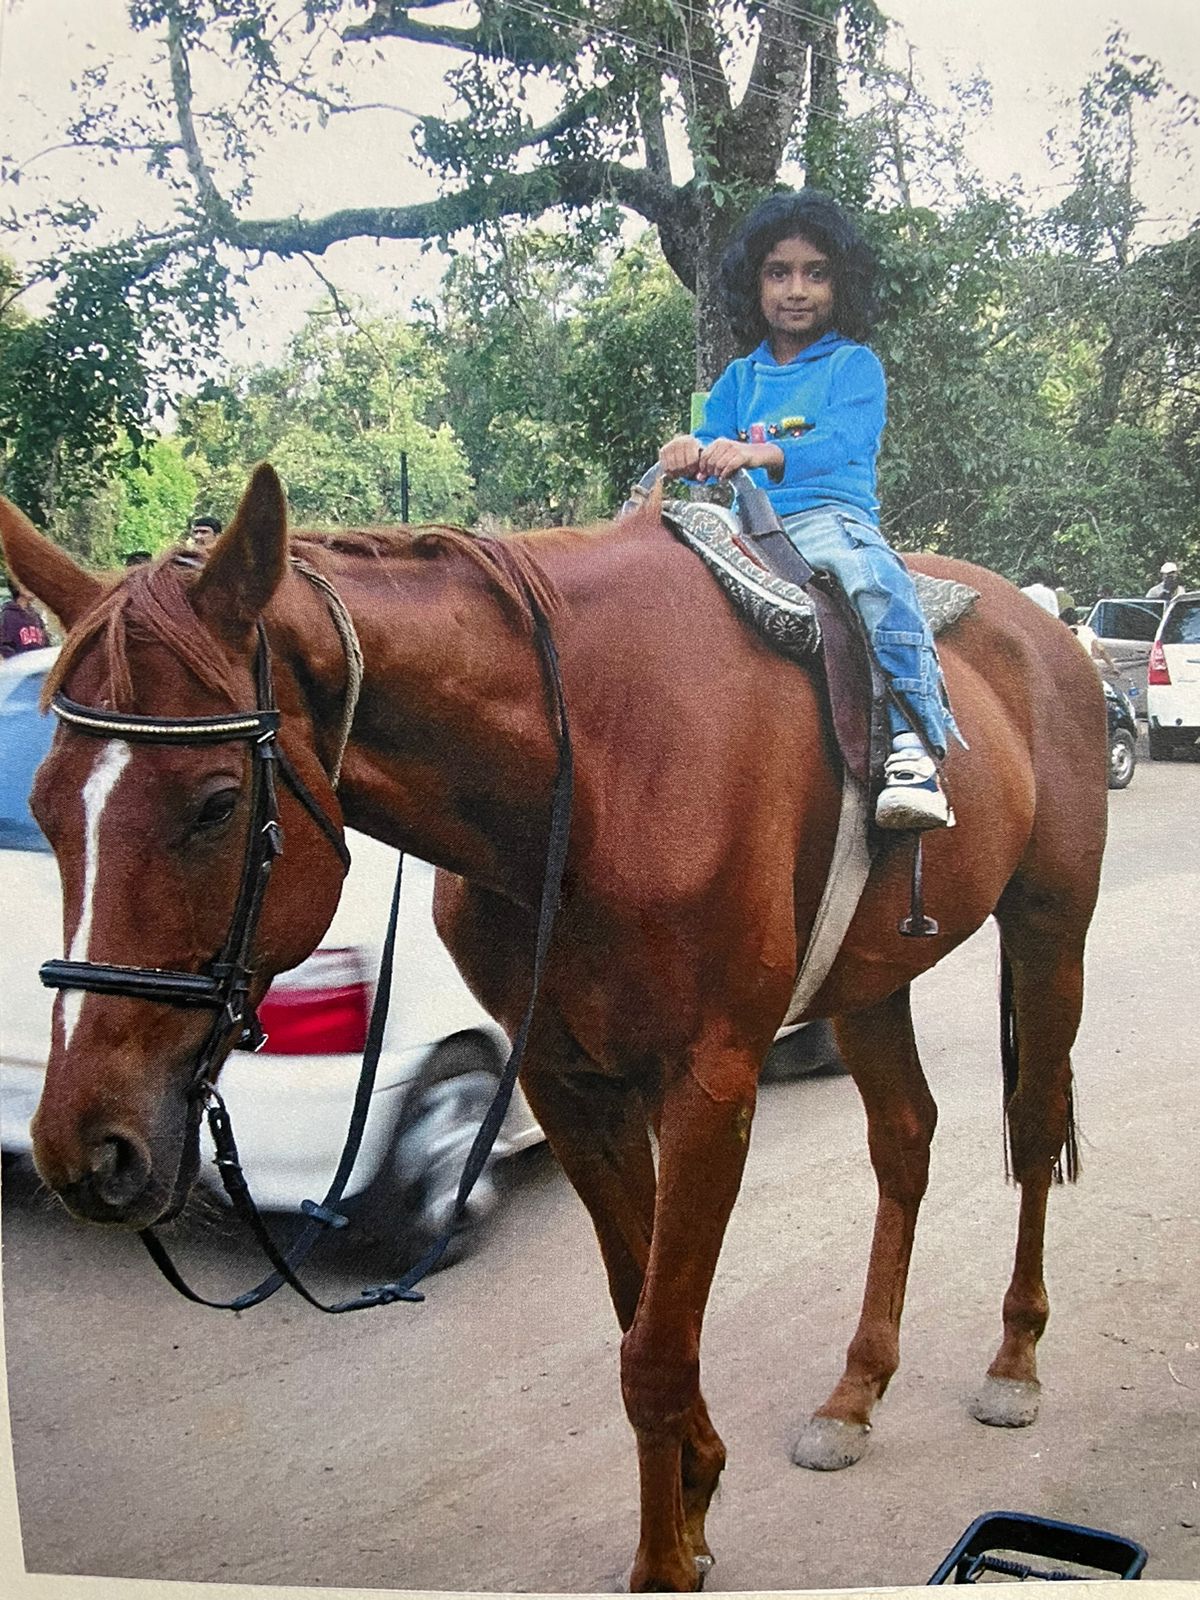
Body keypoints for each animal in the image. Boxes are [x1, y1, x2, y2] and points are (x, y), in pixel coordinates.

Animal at [0, 464, 1108, 1592]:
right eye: (43, 806)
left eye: (217, 804)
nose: (85, 1144)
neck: (597, 780)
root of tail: (1049, 631)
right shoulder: (569, 1084)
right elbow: (640, 1311)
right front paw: (695, 1492)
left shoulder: (708, 1087)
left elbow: (654, 1352)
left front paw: (667, 1554)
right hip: (869, 982)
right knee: (906, 1141)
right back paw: (856, 1390)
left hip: (1050, 925)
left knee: (1030, 1122)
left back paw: (1015, 1358)